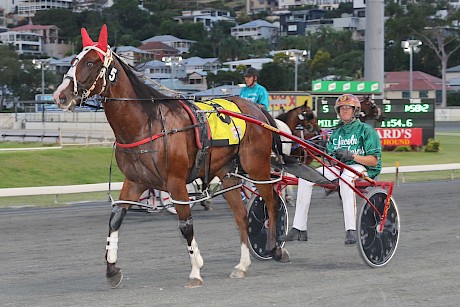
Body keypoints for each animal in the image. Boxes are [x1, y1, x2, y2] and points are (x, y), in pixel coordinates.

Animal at [51, 25, 288, 290]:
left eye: (91, 62)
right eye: (73, 60)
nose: (60, 96)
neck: (145, 124)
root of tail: (256, 109)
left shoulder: (176, 182)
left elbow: (185, 225)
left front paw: (195, 270)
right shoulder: (136, 181)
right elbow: (116, 218)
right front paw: (111, 268)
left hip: (256, 166)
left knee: (270, 200)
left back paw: (274, 246)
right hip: (227, 173)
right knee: (241, 215)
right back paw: (242, 265)